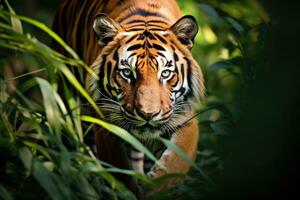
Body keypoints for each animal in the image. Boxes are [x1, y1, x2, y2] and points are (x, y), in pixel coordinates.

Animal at [52, 0, 205, 195]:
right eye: (127, 73)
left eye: (165, 73)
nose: (148, 115)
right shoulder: (105, 123)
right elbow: (120, 172)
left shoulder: (185, 119)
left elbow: (173, 164)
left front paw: (152, 188)